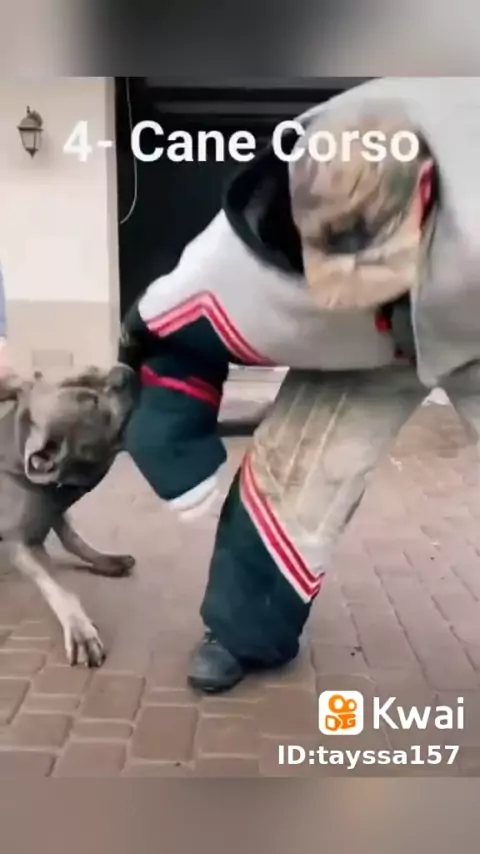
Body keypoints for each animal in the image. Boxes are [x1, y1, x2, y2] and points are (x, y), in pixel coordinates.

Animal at [0, 364, 137, 667]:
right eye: (89, 402)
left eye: (92, 373)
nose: (124, 371)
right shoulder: (22, 544)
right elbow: (58, 589)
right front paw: (80, 631)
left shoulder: (53, 508)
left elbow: (73, 539)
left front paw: (106, 560)